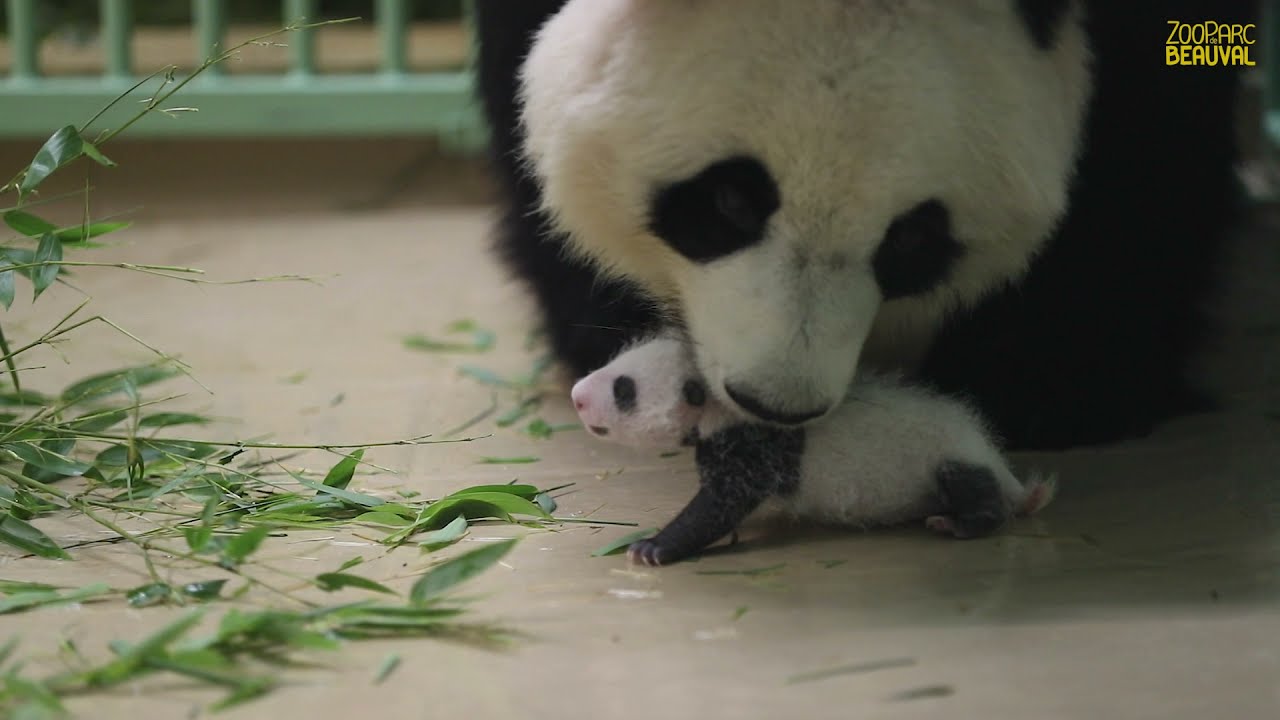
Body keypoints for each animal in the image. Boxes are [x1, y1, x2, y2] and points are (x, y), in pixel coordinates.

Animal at [571, 333, 1056, 566]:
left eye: (624, 389)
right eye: (615, 362)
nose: (577, 396)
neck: (721, 402)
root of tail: (997, 462)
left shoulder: (754, 444)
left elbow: (722, 502)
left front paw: (654, 547)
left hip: (947, 458)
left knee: (971, 488)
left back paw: (959, 522)